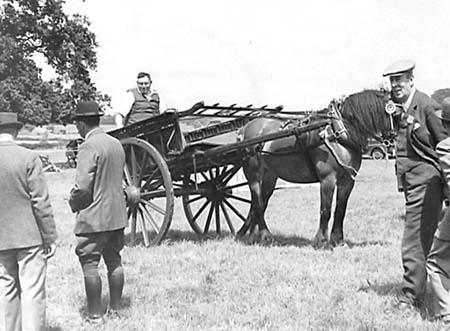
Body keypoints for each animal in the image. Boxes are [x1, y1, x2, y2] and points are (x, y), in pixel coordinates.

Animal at [237, 89, 396, 248]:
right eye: (394, 112)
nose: (393, 138)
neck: (337, 132)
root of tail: (245, 129)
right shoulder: (328, 179)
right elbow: (325, 210)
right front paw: (322, 240)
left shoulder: (347, 180)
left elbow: (340, 209)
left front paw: (338, 239)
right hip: (253, 173)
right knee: (257, 202)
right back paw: (264, 235)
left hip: (270, 175)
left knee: (259, 203)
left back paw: (248, 233)